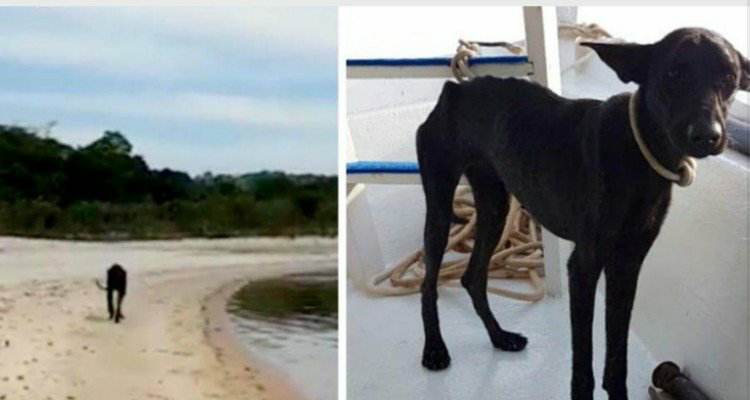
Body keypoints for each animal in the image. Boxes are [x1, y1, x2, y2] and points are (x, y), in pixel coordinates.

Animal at [418, 27, 750, 396]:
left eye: (730, 78)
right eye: (674, 73)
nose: (708, 136)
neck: (639, 155)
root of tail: (456, 89)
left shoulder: (628, 265)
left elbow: (617, 357)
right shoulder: (584, 266)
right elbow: (583, 362)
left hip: (494, 208)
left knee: (472, 277)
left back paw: (499, 336)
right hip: (439, 204)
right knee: (428, 282)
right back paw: (435, 349)